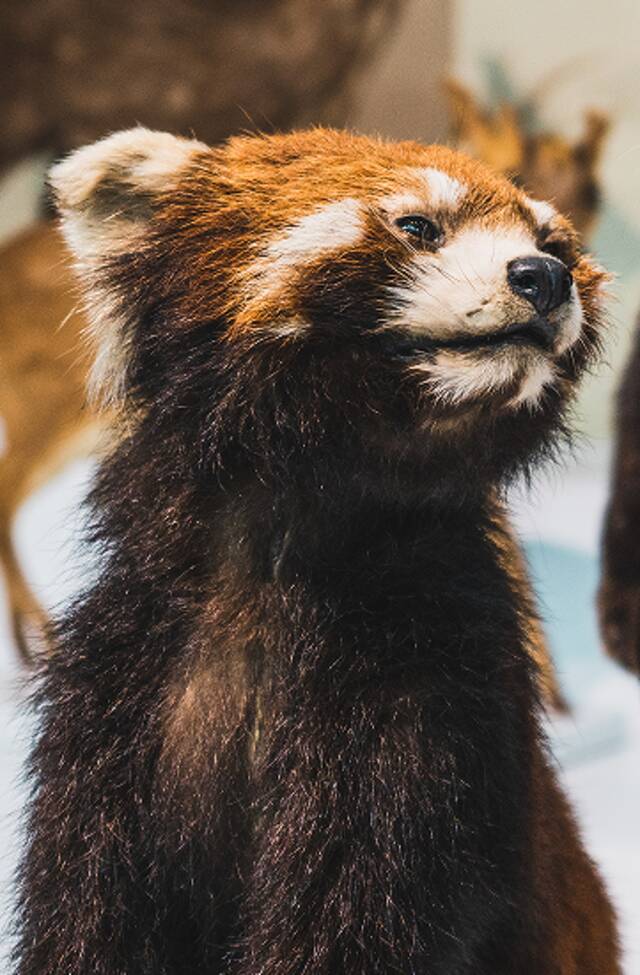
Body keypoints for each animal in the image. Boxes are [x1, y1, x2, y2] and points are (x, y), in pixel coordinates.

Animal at [16, 126, 620, 972]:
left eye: (554, 241)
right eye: (417, 225)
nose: (545, 277)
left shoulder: (430, 709)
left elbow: (355, 918)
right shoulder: (118, 697)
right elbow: (90, 917)